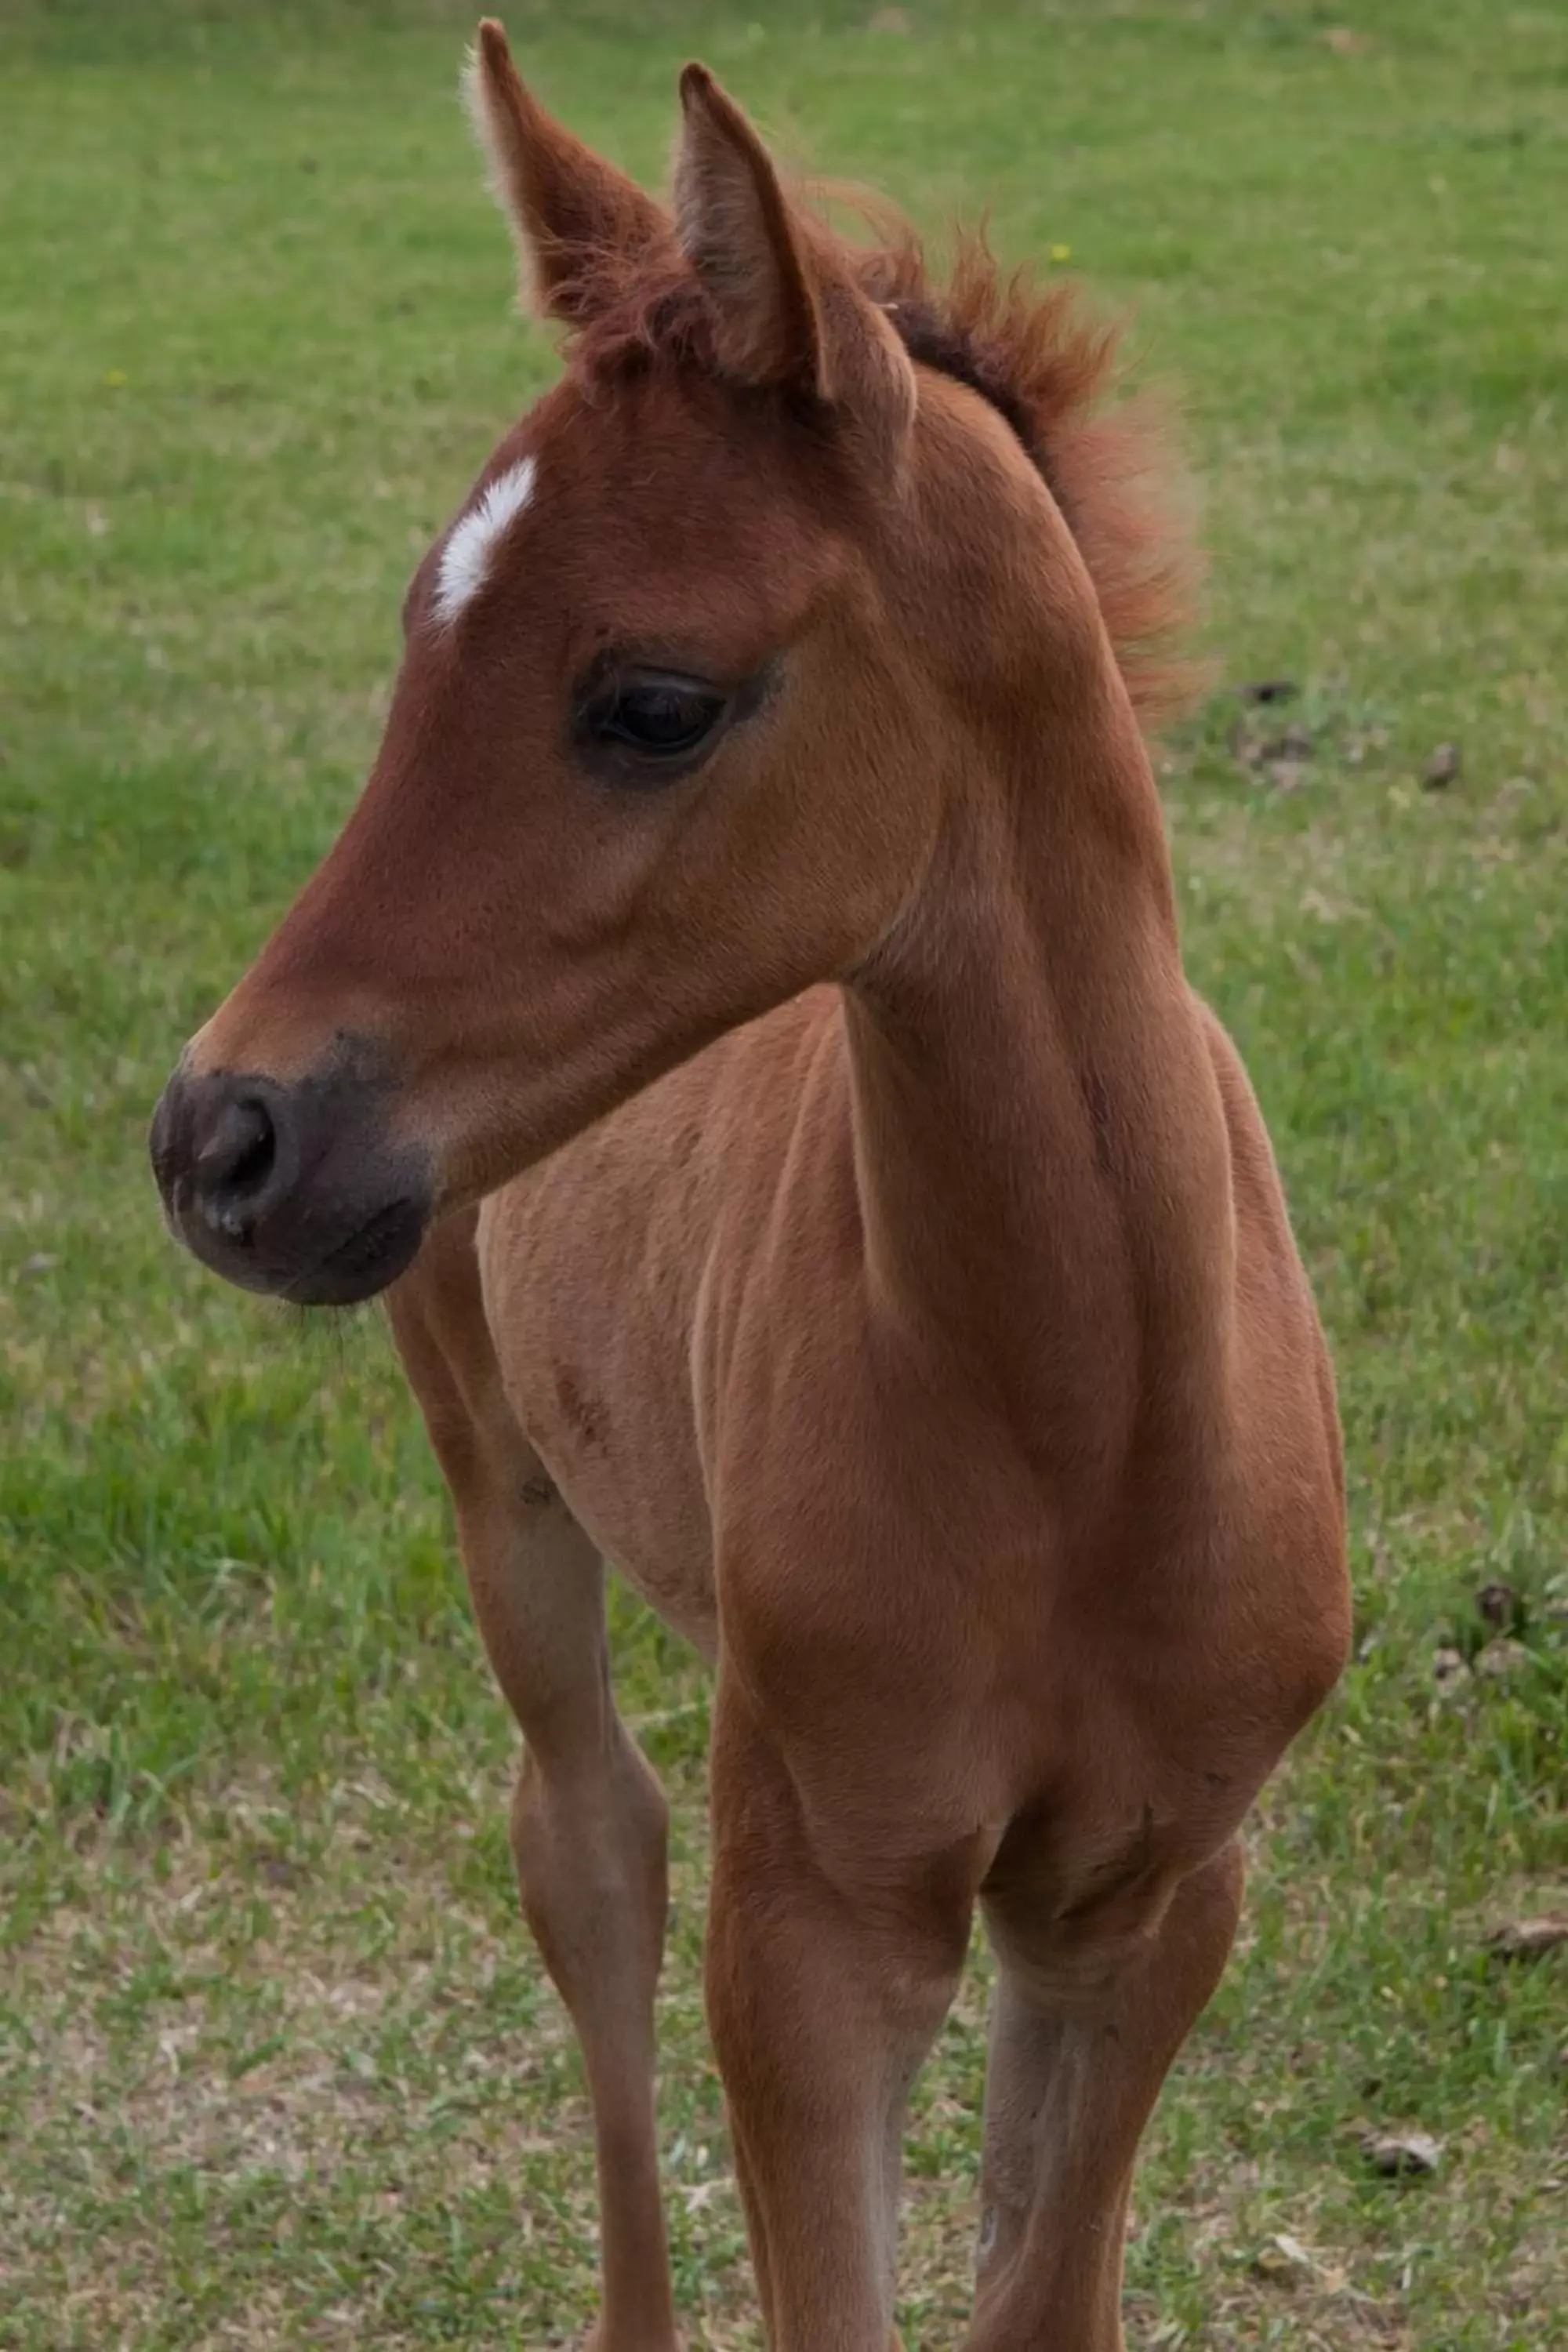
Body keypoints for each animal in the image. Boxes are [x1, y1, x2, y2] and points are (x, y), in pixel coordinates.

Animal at [150, 27, 1354, 2343]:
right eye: (413, 641)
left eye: (651, 701)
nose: (218, 1140)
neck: (1087, 1410)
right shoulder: (815, 1928)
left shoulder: (1151, 1897)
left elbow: (1038, 2288)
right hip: (501, 1477)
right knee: (587, 1849)